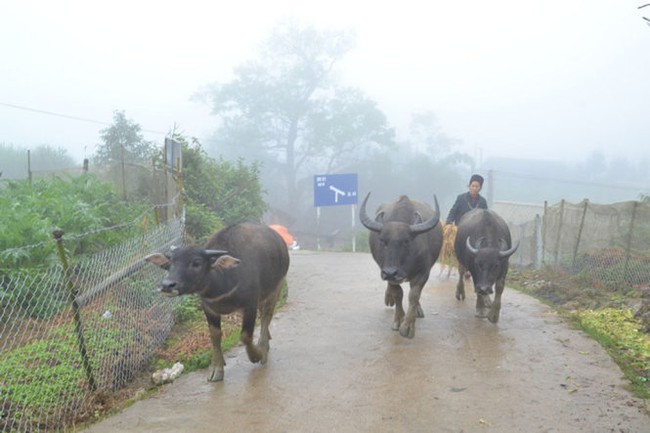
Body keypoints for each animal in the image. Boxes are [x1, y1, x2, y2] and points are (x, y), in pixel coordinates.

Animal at [148, 223, 290, 382]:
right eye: (170, 263)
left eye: (196, 262)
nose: (167, 285)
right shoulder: (209, 308)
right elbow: (215, 335)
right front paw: (217, 367)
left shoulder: (250, 305)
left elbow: (245, 336)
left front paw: (256, 355)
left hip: (276, 287)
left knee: (267, 316)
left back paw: (263, 347)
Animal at [356, 192, 442, 338]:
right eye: (383, 241)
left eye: (406, 241)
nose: (391, 272)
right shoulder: (384, 271)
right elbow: (398, 294)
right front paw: (398, 319)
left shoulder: (423, 272)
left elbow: (414, 295)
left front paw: (408, 326)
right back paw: (389, 298)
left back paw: (417, 310)